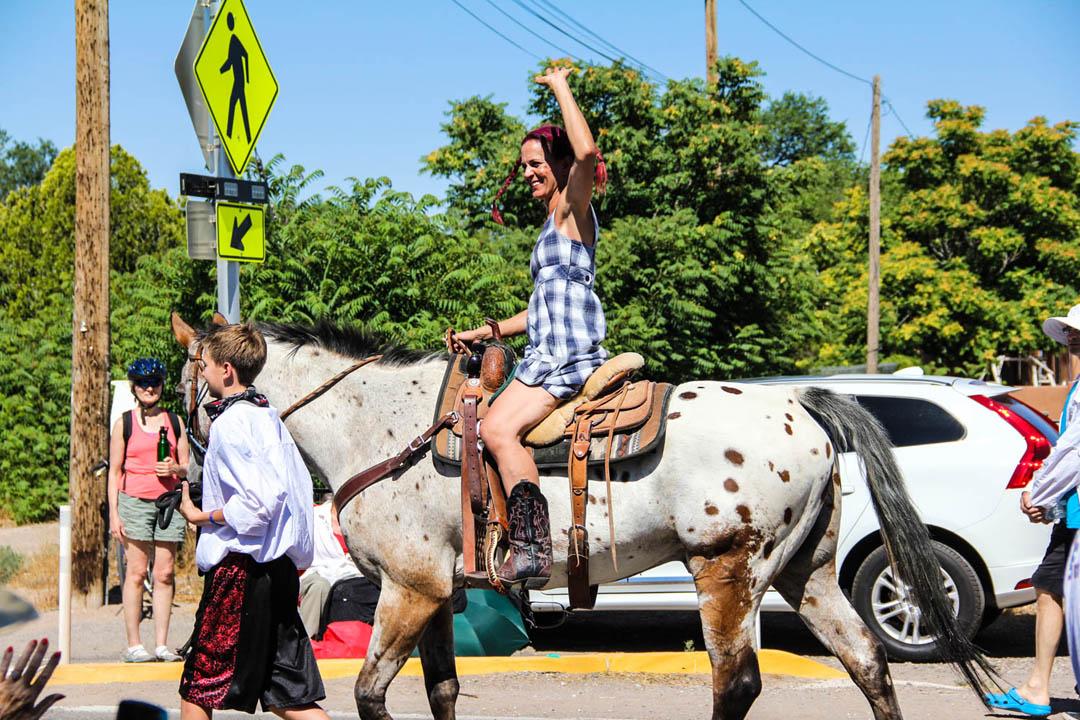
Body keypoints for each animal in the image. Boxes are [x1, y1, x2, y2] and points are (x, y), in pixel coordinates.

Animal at [170, 313, 993, 720]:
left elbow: (371, 694)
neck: (377, 425)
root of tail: (801, 402)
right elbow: (441, 693)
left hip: (728, 571)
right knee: (867, 660)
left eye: (185, 386)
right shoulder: (441, 594)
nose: (189, 476)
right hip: (807, 573)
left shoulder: (409, 589)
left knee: (736, 684)